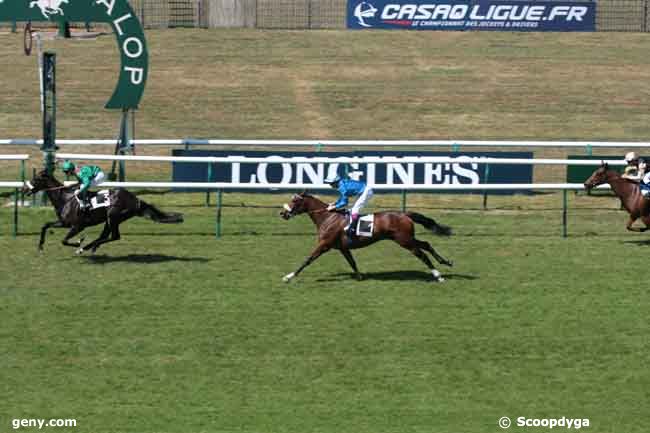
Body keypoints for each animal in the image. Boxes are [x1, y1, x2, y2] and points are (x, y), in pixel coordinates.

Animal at [24, 170, 182, 253]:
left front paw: (79, 242)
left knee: (115, 236)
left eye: (35, 178)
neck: (65, 199)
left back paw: (86, 247)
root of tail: (135, 199)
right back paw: (91, 247)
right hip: (110, 219)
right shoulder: (64, 223)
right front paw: (40, 246)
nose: (24, 189)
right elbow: (45, 225)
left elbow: (64, 240)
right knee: (106, 235)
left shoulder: (77, 226)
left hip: (113, 216)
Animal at [278, 193, 450, 282]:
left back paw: (438, 275)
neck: (328, 217)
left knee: (422, 254)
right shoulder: (343, 248)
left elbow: (308, 259)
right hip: (406, 238)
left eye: (295, 201)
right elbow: (352, 262)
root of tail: (404, 214)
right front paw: (359, 276)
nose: (283, 213)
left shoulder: (324, 245)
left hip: (404, 240)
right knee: (426, 244)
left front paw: (289, 276)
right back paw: (446, 262)